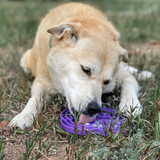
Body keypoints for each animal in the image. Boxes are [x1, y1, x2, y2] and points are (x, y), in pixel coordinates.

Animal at [8, 2, 152, 130]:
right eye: (85, 69)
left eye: (106, 82)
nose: (94, 108)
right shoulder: (41, 82)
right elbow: (35, 98)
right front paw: (24, 115)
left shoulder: (121, 77)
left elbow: (129, 83)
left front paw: (130, 104)